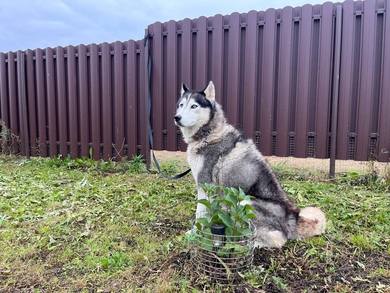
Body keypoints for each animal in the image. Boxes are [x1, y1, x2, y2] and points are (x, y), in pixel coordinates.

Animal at [174, 80, 326, 246]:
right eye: (181, 105)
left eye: (194, 106)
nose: (177, 117)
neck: (208, 134)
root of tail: (293, 218)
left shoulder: (205, 186)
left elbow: (199, 214)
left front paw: (194, 234)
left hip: (245, 202)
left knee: (278, 239)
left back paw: (250, 243)